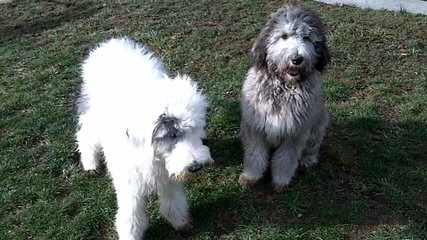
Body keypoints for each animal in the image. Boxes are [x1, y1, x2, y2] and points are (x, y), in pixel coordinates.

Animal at [76, 38, 214, 239]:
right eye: (172, 134)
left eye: (195, 130)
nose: (195, 167)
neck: (154, 155)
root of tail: (111, 43)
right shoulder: (130, 184)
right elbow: (132, 215)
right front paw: (130, 235)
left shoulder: (167, 178)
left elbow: (173, 201)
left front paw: (181, 223)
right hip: (93, 118)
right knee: (85, 136)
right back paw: (90, 164)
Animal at [241, 4, 332, 191]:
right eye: (284, 36)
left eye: (307, 38)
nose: (297, 59)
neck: (284, 88)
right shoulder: (255, 128)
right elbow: (254, 155)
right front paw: (250, 177)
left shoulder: (295, 133)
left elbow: (285, 159)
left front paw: (280, 182)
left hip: (319, 125)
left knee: (312, 147)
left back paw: (308, 160)